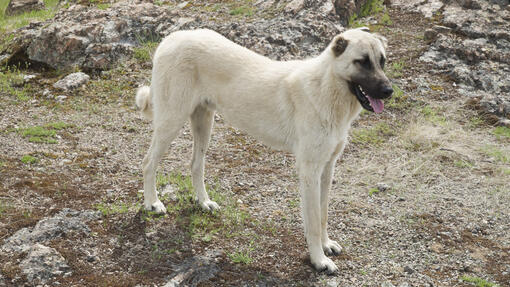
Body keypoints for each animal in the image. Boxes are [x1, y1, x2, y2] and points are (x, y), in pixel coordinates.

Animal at [136, 27, 394, 274]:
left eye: (382, 61)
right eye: (362, 61)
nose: (389, 91)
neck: (327, 87)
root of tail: (172, 37)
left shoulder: (327, 168)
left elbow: (323, 215)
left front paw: (326, 245)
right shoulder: (310, 172)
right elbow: (312, 221)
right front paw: (319, 260)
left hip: (203, 123)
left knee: (195, 165)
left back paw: (204, 202)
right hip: (171, 121)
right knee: (148, 162)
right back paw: (152, 202)